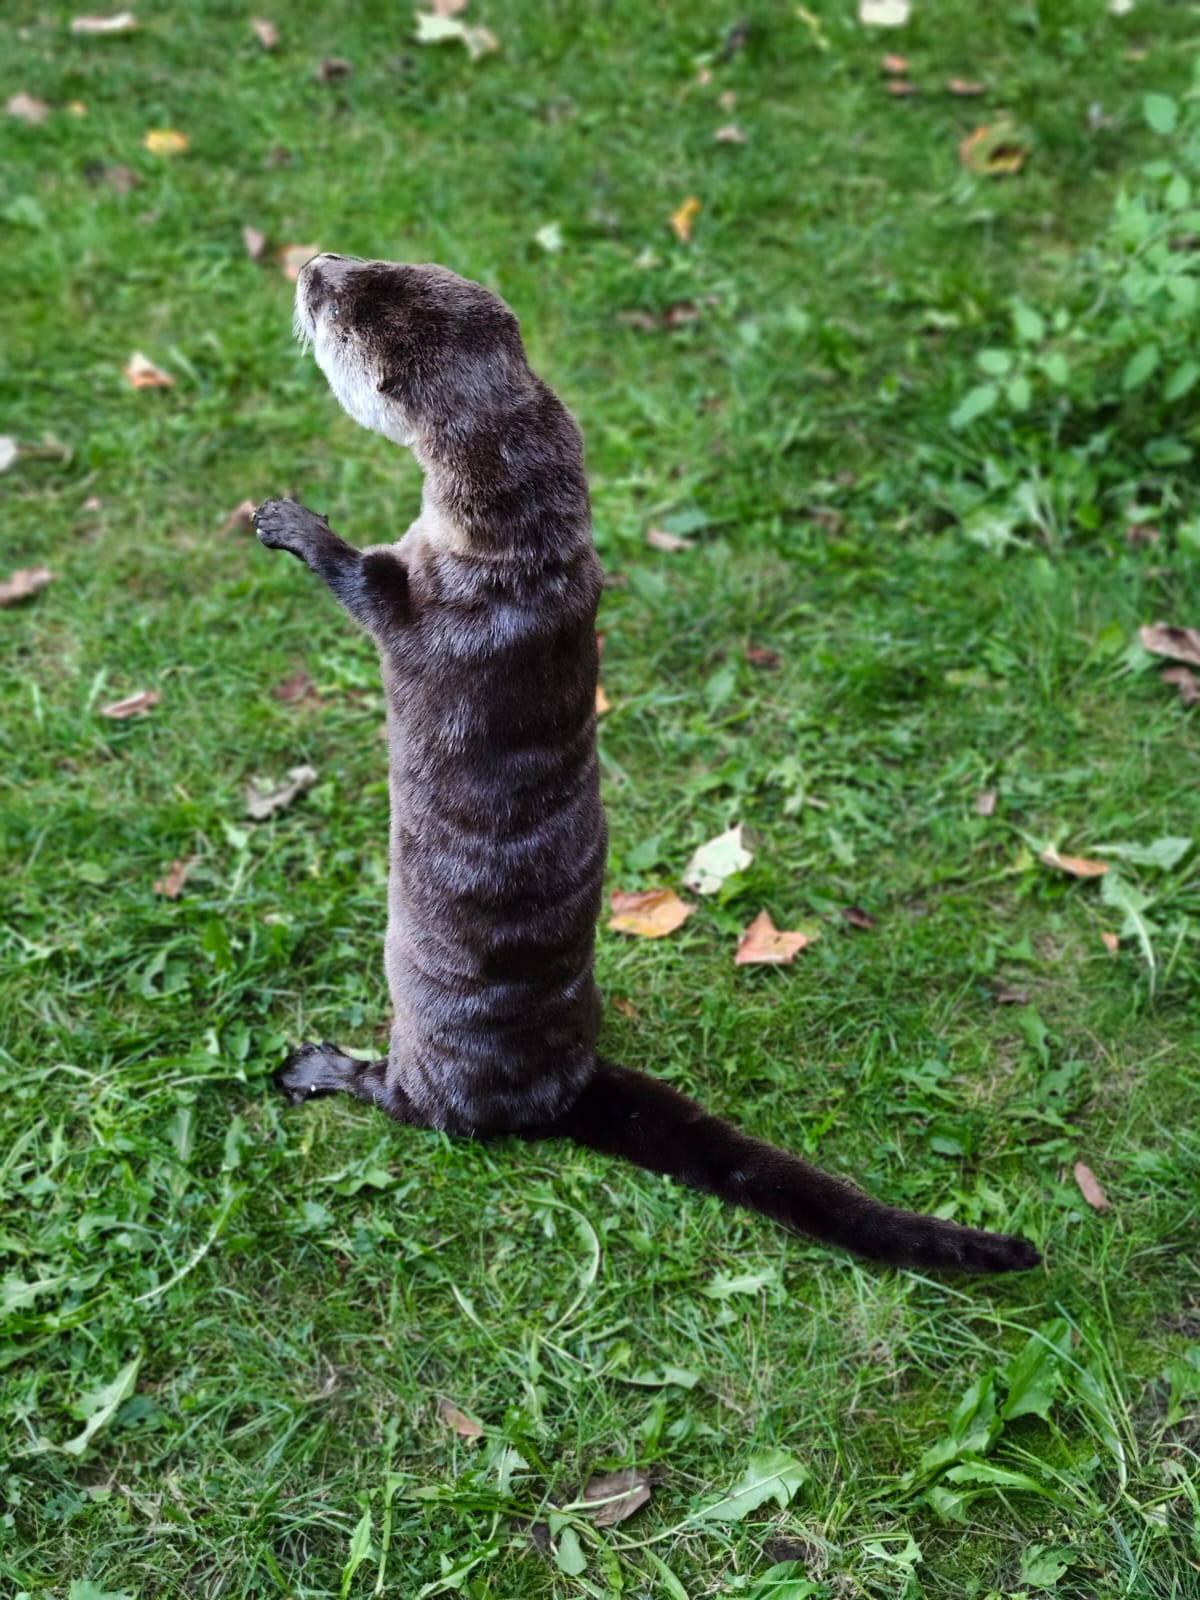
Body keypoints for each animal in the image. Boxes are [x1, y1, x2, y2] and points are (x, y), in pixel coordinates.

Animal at [253, 254, 1040, 1275]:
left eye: (339, 307)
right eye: (375, 264)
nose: (312, 263)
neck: (526, 549)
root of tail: (560, 1089)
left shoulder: (428, 598)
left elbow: (363, 583)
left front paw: (290, 522)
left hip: (430, 1039)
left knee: (421, 1111)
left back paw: (324, 1069)